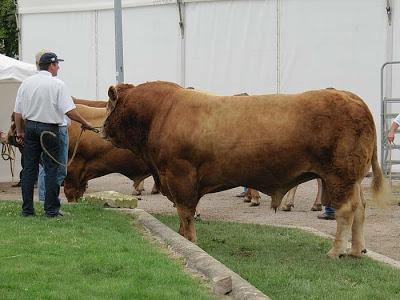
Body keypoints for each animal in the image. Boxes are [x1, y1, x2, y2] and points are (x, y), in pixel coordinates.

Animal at [103, 81, 388, 258]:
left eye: (107, 106)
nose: (102, 129)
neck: (161, 112)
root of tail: (349, 96)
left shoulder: (180, 176)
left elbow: (185, 213)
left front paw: (188, 241)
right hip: (350, 178)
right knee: (360, 208)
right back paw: (356, 250)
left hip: (339, 175)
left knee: (346, 211)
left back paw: (336, 251)